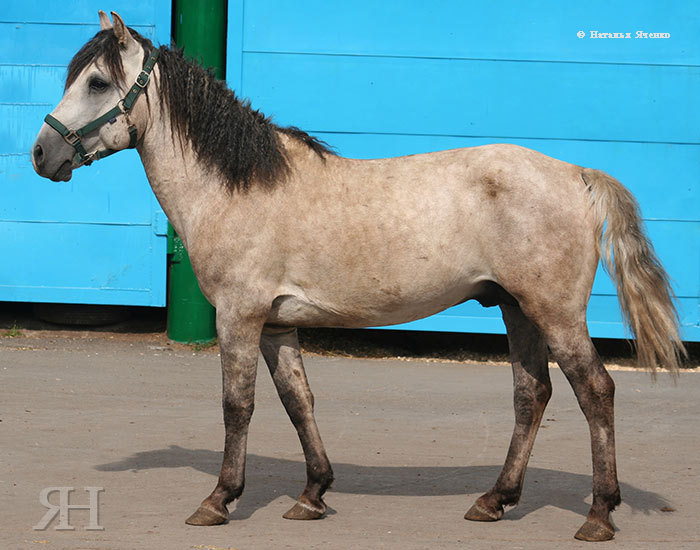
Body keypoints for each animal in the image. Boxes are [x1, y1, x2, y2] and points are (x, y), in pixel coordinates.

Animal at [31, 11, 684, 544]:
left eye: (96, 82)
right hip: (516, 308)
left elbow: (237, 405)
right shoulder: (276, 324)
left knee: (595, 391)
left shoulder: (239, 315)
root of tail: (576, 173)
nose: (41, 155)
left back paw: (598, 515)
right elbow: (298, 400)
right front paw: (313, 494)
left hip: (554, 312)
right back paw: (495, 501)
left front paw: (218, 501)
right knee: (533, 395)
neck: (238, 187)